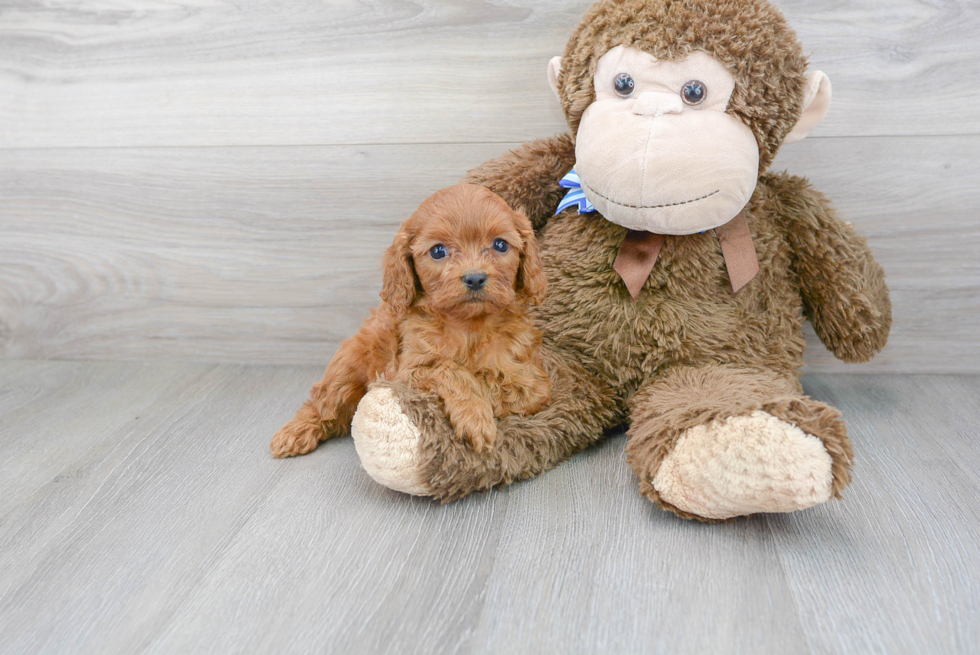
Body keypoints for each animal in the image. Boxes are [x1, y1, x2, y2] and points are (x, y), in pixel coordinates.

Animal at [270, 182, 552, 458]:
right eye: (438, 251)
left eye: (500, 245)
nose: (474, 278)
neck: (468, 325)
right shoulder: (407, 370)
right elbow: (450, 369)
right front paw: (475, 418)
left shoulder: (531, 382)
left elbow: (492, 380)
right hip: (347, 365)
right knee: (323, 402)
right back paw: (295, 432)